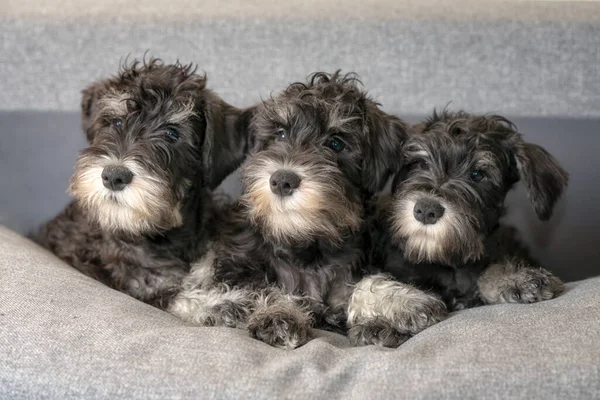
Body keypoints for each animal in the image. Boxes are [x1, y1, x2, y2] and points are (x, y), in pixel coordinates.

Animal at [166, 73, 428, 348]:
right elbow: (267, 289)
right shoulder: (240, 266)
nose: (282, 180)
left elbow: (365, 282)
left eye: (336, 143)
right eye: (280, 134)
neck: (306, 245)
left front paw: (400, 305)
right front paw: (279, 315)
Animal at [366, 109, 568, 344]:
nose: (426, 210)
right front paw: (384, 320)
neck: (446, 261)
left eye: (477, 174)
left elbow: (490, 270)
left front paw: (516, 279)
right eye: (421, 163)